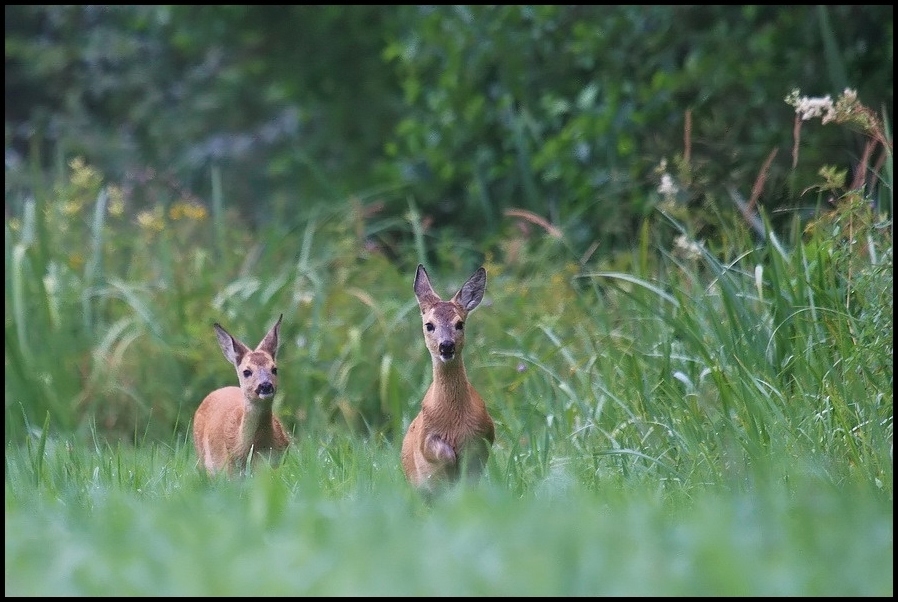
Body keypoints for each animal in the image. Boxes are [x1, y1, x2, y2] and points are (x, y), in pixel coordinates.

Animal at [400, 264, 494, 494]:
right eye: (429, 325)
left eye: (459, 323)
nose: (446, 345)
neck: (455, 420)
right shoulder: (426, 437)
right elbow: (444, 453)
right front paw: (452, 466)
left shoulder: (488, 431)